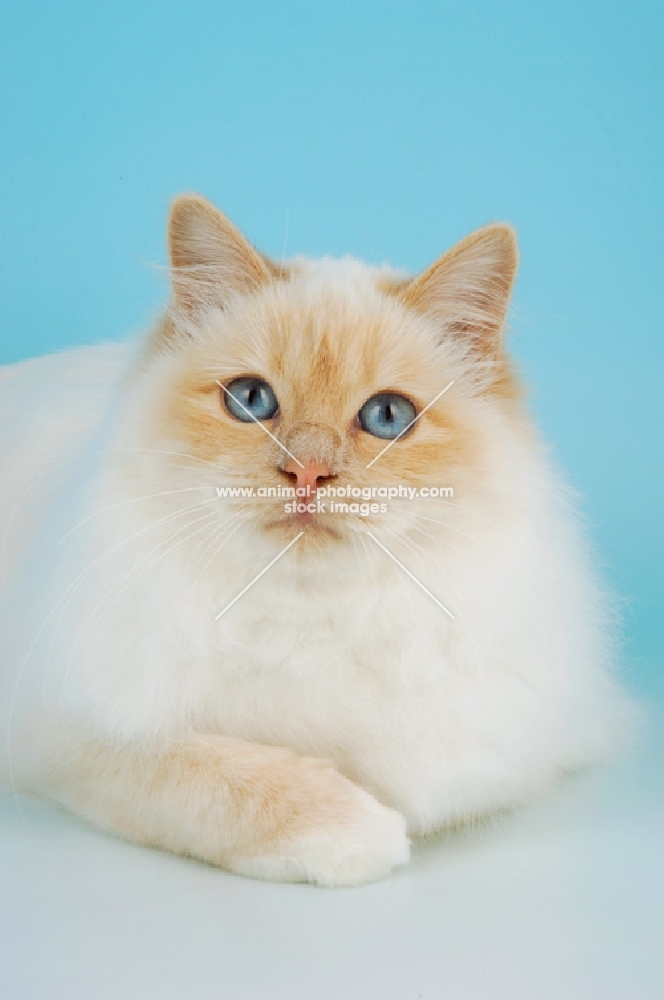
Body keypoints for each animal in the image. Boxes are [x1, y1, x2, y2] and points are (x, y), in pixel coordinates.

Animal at [0, 193, 636, 884]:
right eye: (251, 400)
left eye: (387, 416)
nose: (306, 472)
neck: (308, 617)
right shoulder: (70, 735)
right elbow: (218, 776)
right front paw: (356, 830)